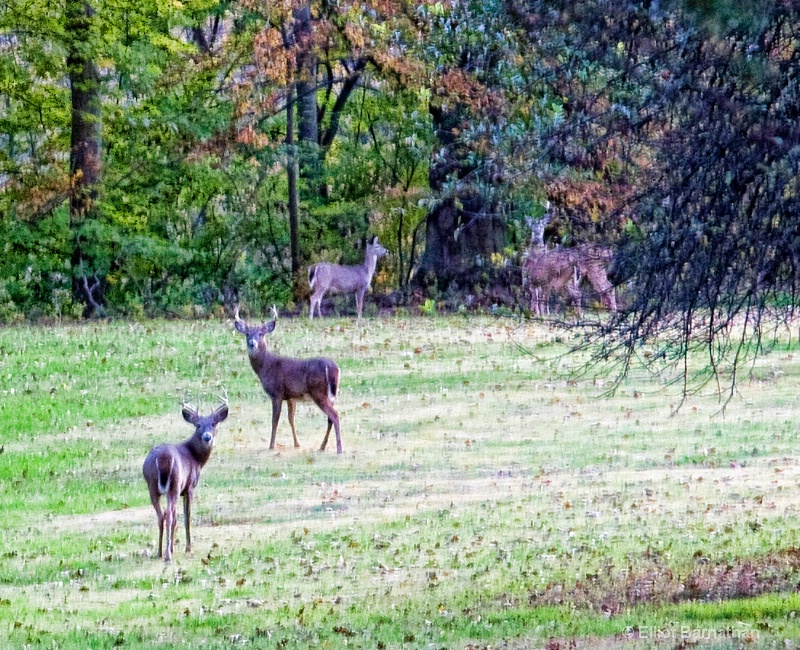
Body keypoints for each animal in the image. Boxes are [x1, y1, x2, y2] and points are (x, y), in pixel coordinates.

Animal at [141, 398, 227, 560]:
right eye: (198, 425)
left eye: (213, 423)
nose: (207, 437)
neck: (196, 458)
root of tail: (164, 458)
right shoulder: (189, 487)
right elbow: (187, 517)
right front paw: (188, 548)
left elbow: (176, 519)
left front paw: (173, 547)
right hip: (174, 484)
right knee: (168, 514)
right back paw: (167, 556)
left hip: (152, 485)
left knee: (161, 515)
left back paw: (160, 552)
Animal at [233, 306, 342, 454]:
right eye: (247, 334)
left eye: (261, 334)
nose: (252, 343)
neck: (266, 366)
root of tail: (332, 367)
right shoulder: (291, 397)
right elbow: (291, 419)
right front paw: (297, 444)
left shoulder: (276, 393)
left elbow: (275, 420)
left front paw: (271, 445)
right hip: (331, 395)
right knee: (330, 418)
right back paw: (322, 447)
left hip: (318, 392)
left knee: (334, 415)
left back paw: (339, 448)